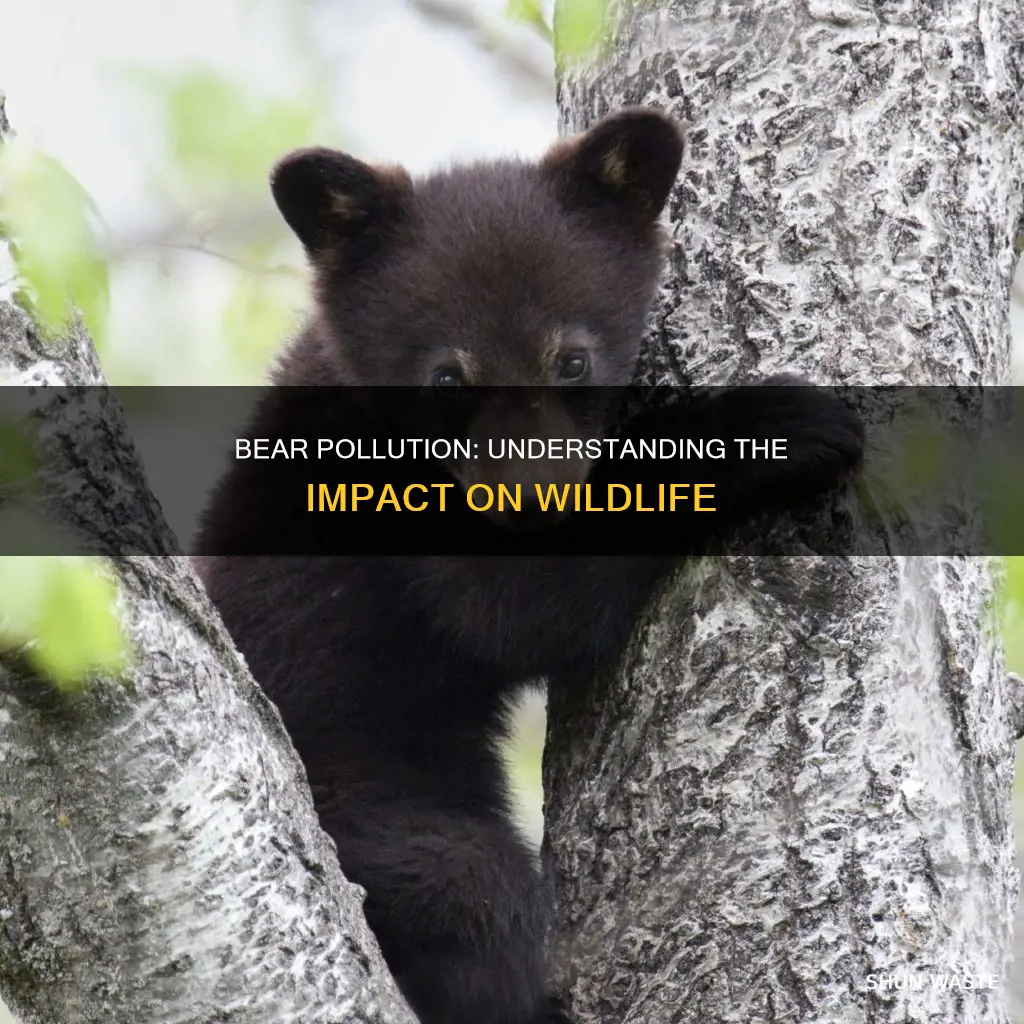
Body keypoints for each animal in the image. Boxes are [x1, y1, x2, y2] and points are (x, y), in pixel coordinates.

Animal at [195, 108, 864, 1024]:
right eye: (447, 377)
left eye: (571, 358)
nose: (531, 499)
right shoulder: (390, 519)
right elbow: (523, 612)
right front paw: (780, 424)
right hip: (368, 816)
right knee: (477, 895)